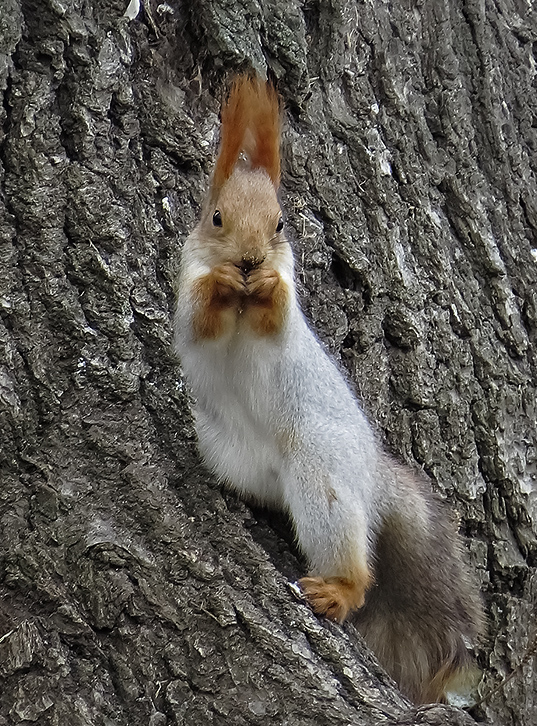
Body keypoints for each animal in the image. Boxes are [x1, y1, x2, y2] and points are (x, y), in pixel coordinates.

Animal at [174, 75, 484, 704]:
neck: (239, 304)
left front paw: (267, 284)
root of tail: (370, 472)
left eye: (280, 224)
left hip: (323, 470)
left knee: (355, 566)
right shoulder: (187, 288)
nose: (249, 261)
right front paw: (222, 282)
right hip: (239, 459)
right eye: (216, 217)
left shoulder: (283, 319)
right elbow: (198, 316)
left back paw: (337, 590)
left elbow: (278, 316)